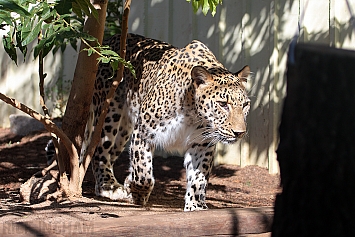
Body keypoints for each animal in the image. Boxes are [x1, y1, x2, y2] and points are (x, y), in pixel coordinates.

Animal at [52, 33, 252, 211]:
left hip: (124, 131)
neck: (193, 114)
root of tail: (110, 39)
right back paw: (109, 186)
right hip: (108, 116)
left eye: (245, 105)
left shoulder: (202, 144)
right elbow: (143, 173)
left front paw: (195, 205)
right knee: (99, 152)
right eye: (223, 104)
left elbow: (199, 178)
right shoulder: (143, 132)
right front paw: (136, 192)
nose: (240, 133)